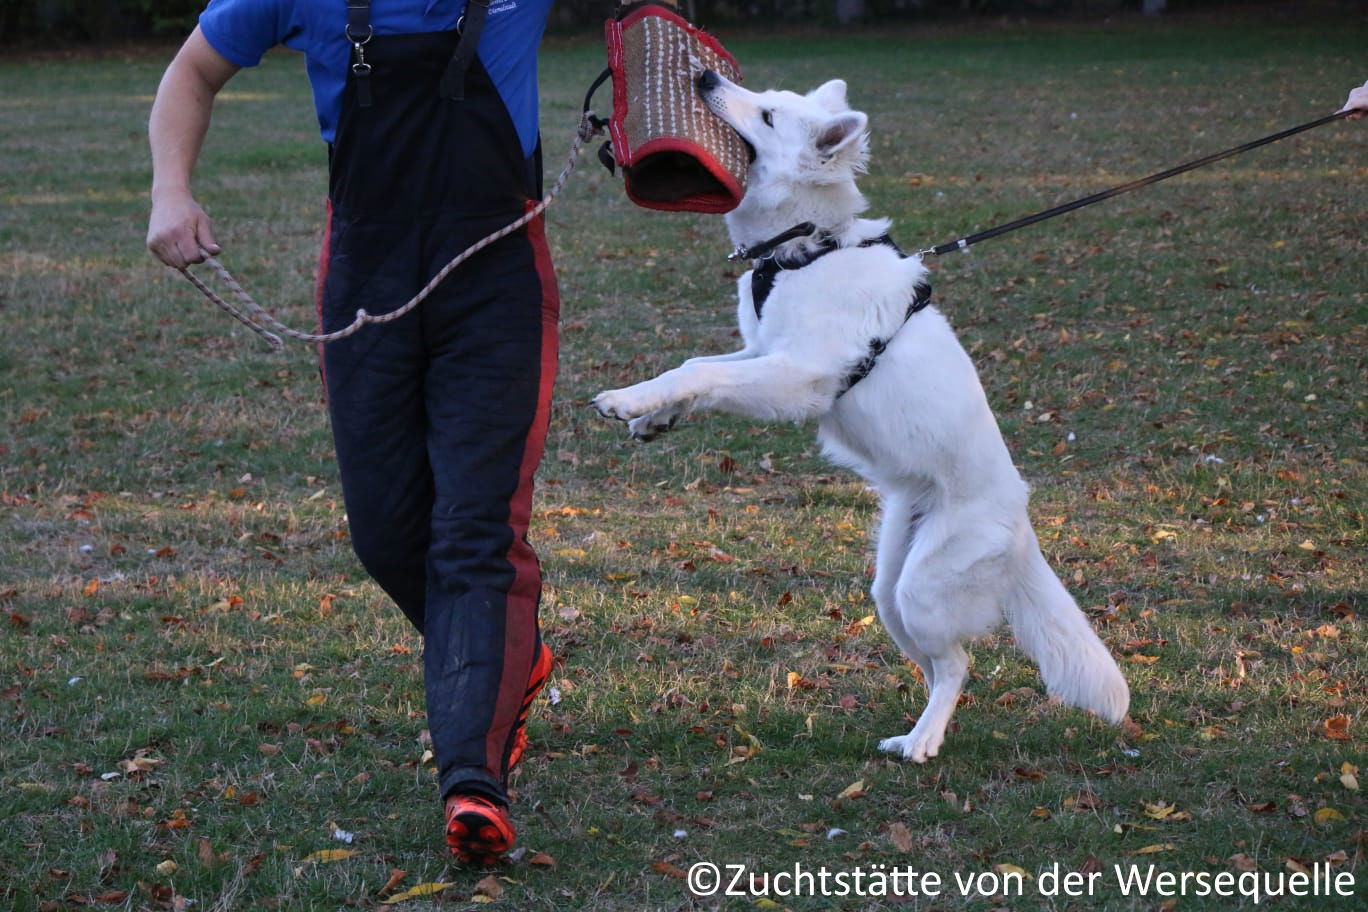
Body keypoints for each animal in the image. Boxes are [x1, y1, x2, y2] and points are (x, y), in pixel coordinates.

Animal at [593, 71, 1127, 760]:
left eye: (766, 114)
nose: (705, 76)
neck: (804, 246)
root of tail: (1021, 521)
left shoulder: (799, 377)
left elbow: (698, 371)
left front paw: (626, 401)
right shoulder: (761, 352)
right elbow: (702, 369)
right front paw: (652, 418)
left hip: (920, 590)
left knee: (958, 665)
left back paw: (924, 743)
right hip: (890, 587)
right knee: (936, 665)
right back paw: (913, 734)